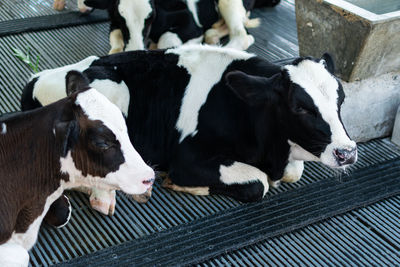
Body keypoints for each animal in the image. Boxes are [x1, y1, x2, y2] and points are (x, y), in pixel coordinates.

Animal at [21, 44, 358, 218]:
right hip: (111, 92)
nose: (347, 152)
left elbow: (293, 173)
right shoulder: (187, 159)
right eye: (300, 107)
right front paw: (181, 185)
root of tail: (38, 77)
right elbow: (258, 184)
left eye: (341, 98)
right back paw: (111, 196)